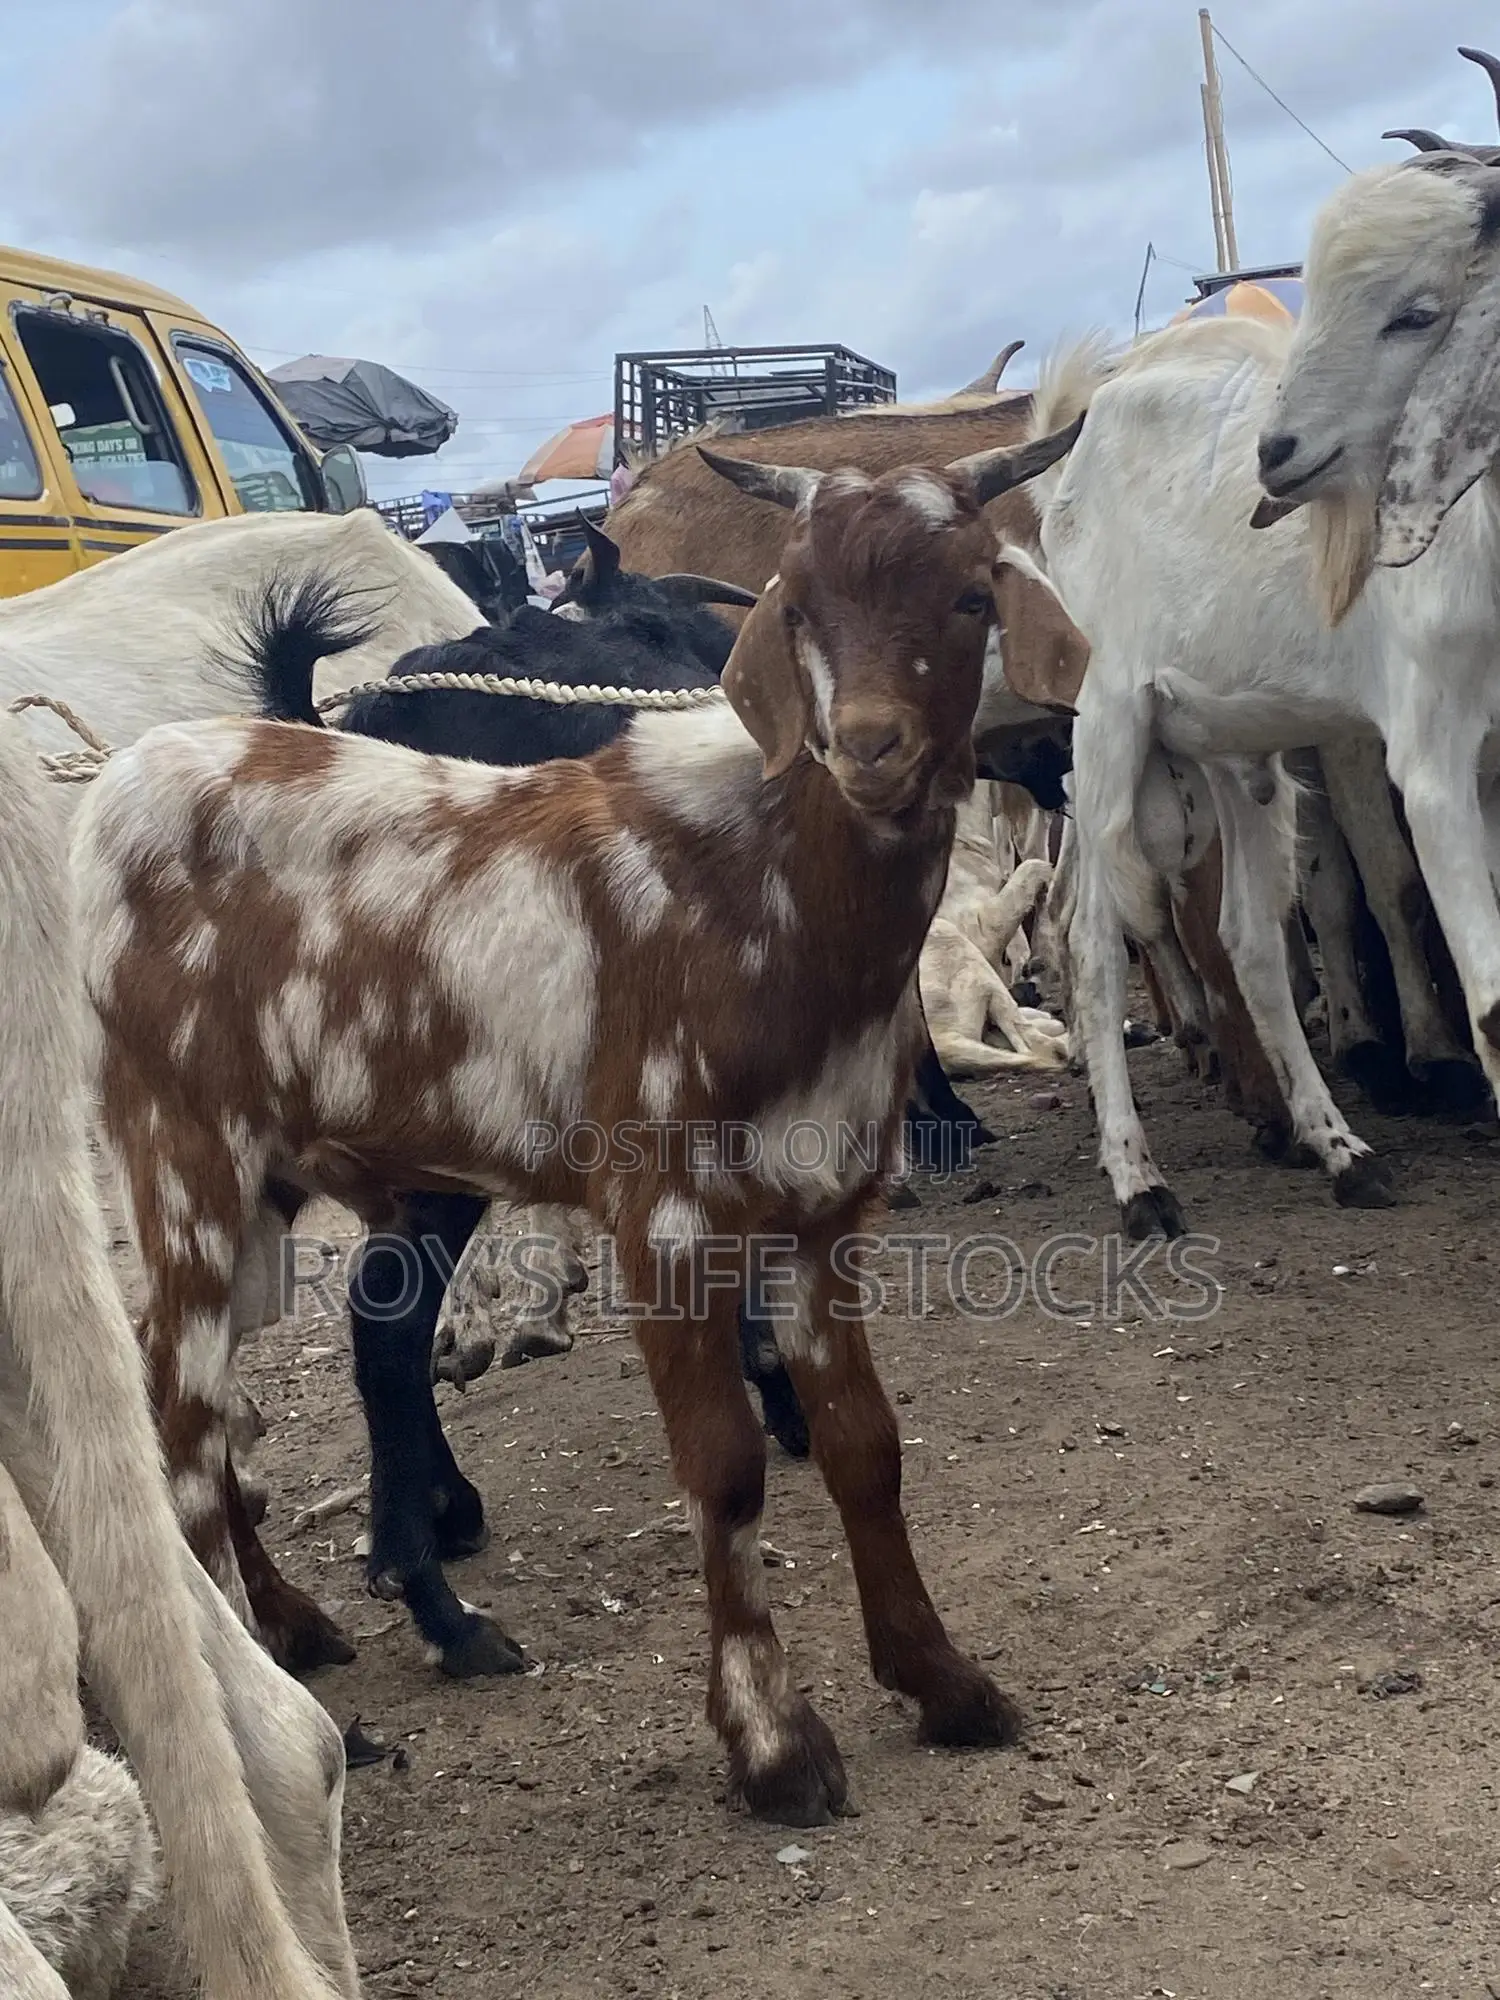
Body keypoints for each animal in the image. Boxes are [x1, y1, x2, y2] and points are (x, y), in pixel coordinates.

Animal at [70, 420, 1079, 1825]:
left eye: (974, 593)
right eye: (797, 606)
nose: (869, 746)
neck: (758, 890)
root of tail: (123, 784)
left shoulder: (823, 1207)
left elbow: (867, 1445)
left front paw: (943, 1681)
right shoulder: (662, 1211)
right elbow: (726, 1467)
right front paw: (774, 1743)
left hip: (263, 1182)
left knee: (211, 1405)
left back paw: (334, 1626)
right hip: (185, 1157)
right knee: (182, 1430)